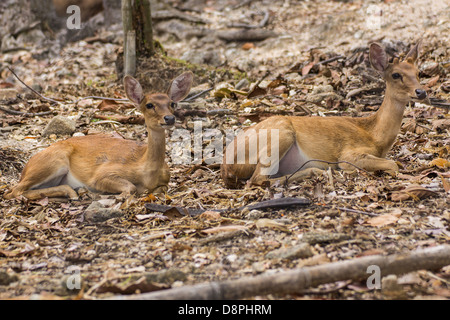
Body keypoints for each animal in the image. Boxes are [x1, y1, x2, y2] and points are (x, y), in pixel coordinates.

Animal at [4, 72, 193, 200]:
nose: (169, 118)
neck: (147, 171)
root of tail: (25, 168)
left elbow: (162, 189)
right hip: (53, 161)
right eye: (149, 105)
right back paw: (73, 192)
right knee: (14, 191)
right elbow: (130, 187)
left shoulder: (166, 179)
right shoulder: (102, 174)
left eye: (172, 103)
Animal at [221, 41, 428, 189]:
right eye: (396, 75)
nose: (421, 92)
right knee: (257, 180)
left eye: (418, 72)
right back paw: (318, 171)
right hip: (280, 134)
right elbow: (393, 164)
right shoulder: (348, 154)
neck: (375, 136)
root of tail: (226, 166)